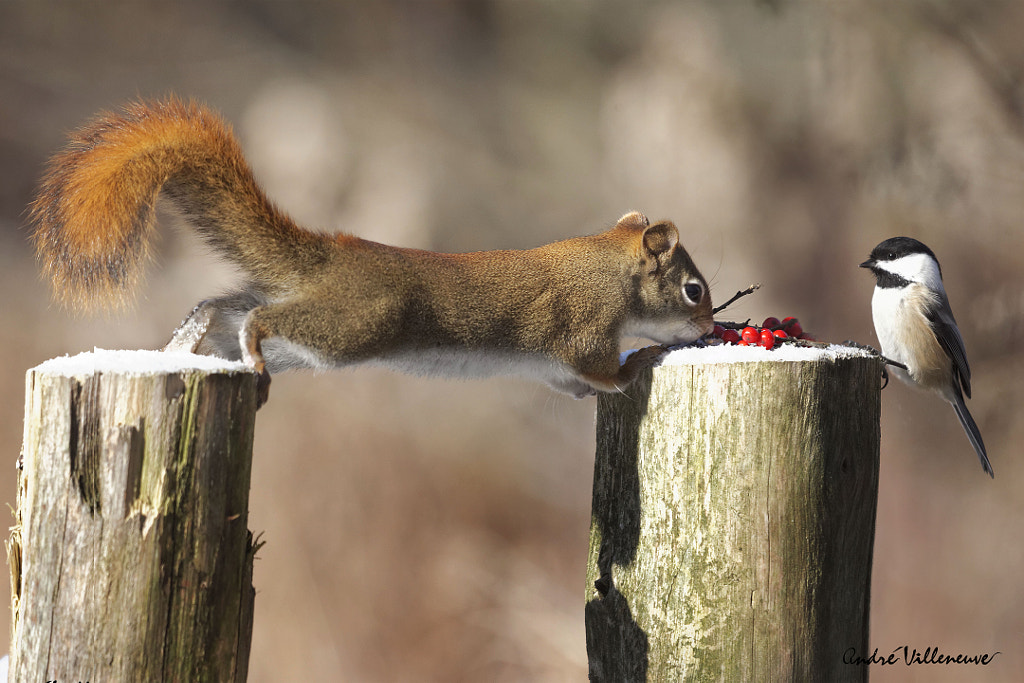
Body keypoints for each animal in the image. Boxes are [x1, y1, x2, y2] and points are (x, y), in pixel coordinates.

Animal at [29, 98, 712, 403]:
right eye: (693, 290)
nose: (709, 327)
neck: (607, 267)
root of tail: (332, 257)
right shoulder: (583, 328)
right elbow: (598, 365)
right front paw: (638, 363)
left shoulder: (553, 368)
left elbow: (576, 386)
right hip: (357, 323)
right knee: (258, 318)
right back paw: (243, 346)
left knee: (221, 307)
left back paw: (184, 345)